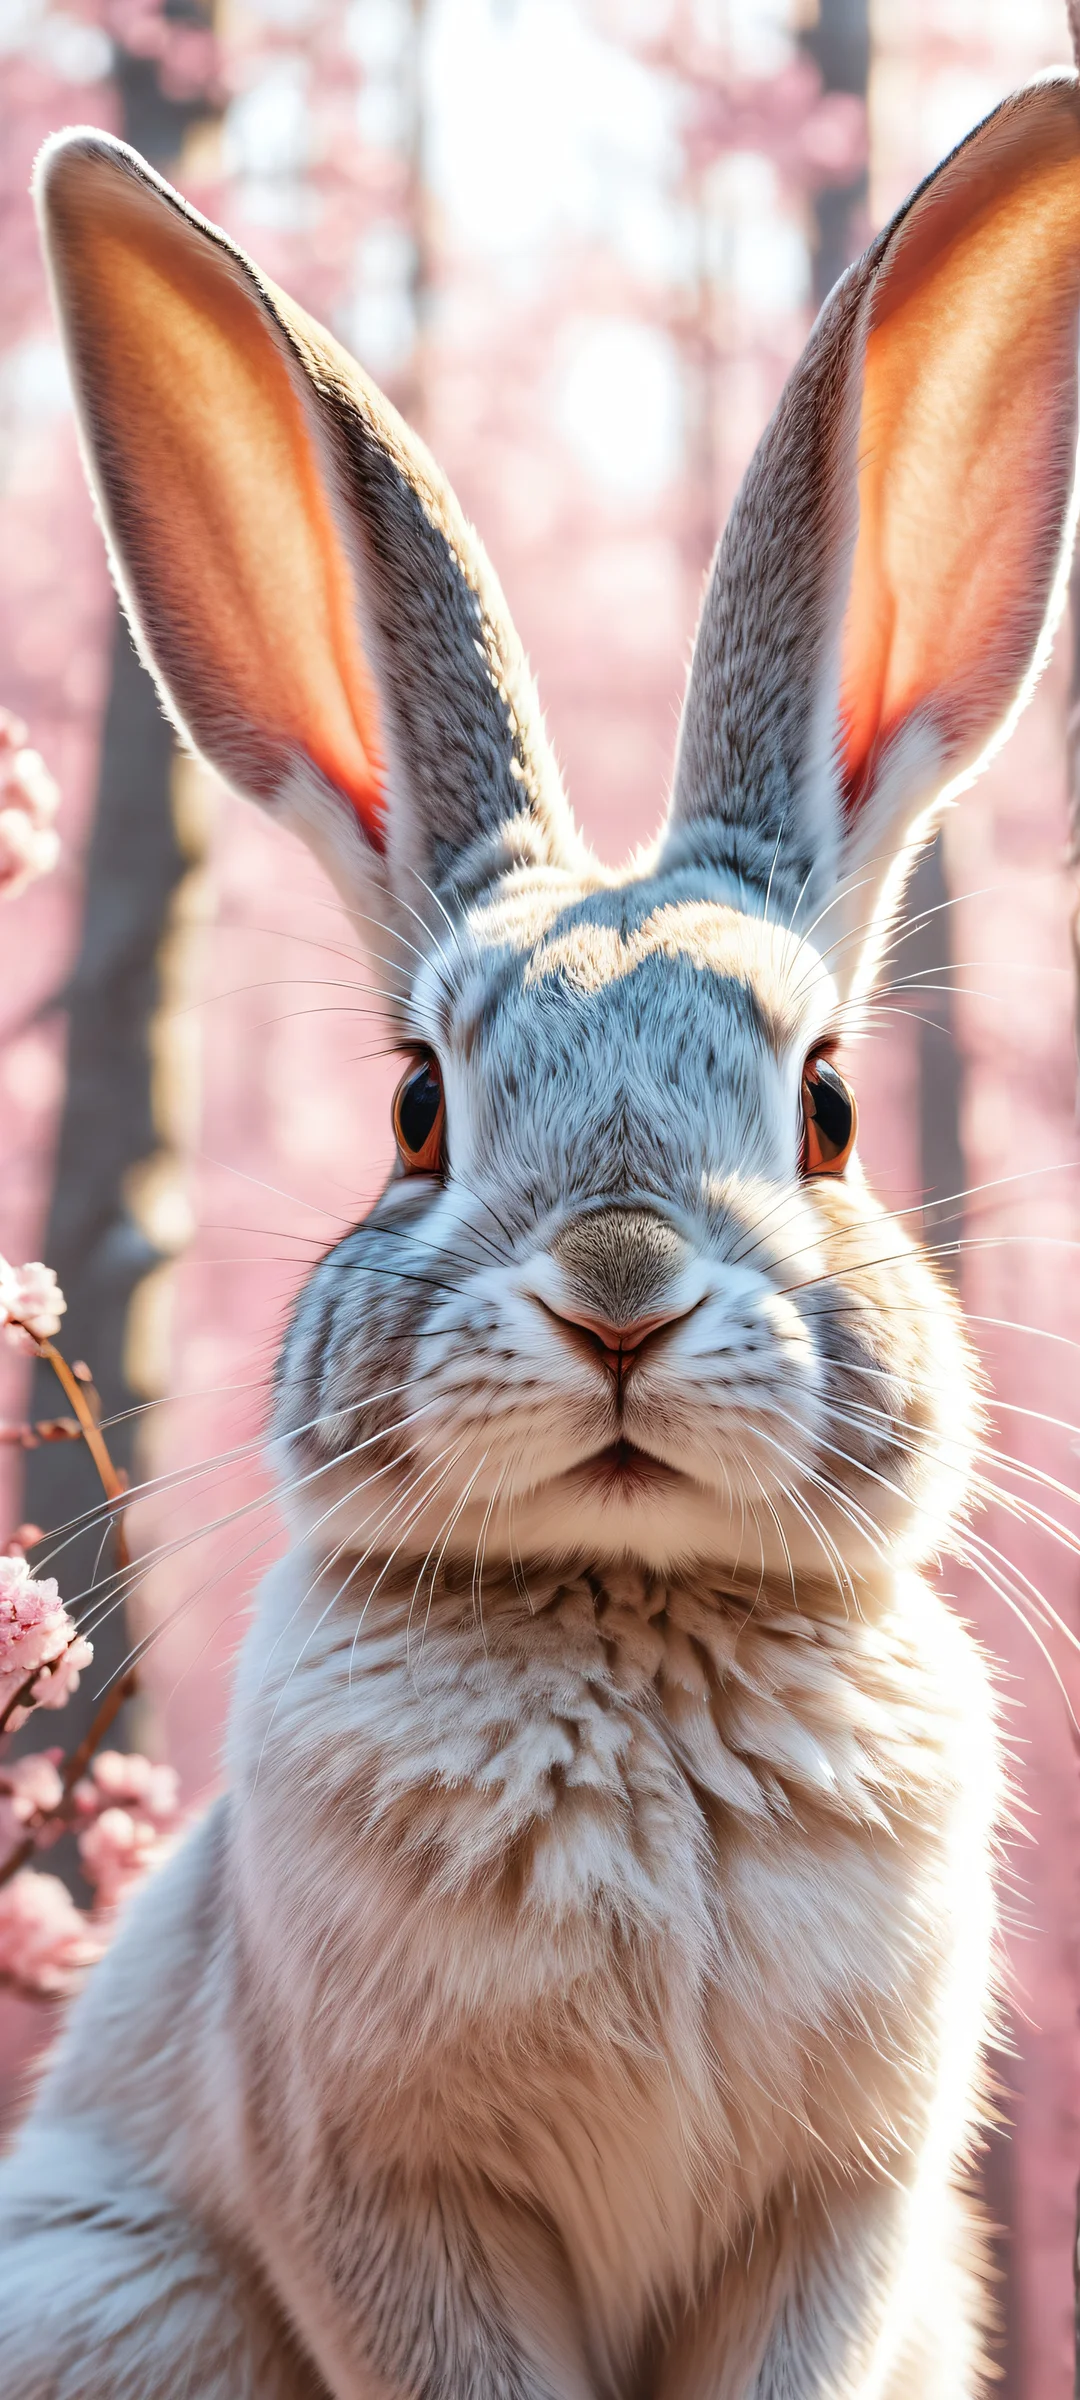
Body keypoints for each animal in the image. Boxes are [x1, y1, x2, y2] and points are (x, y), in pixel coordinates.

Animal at [2, 67, 1080, 2400]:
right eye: (418, 1109)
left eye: (828, 1104)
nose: (618, 1294)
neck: (631, 1615)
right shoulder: (394, 2209)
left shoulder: (838, 2223)